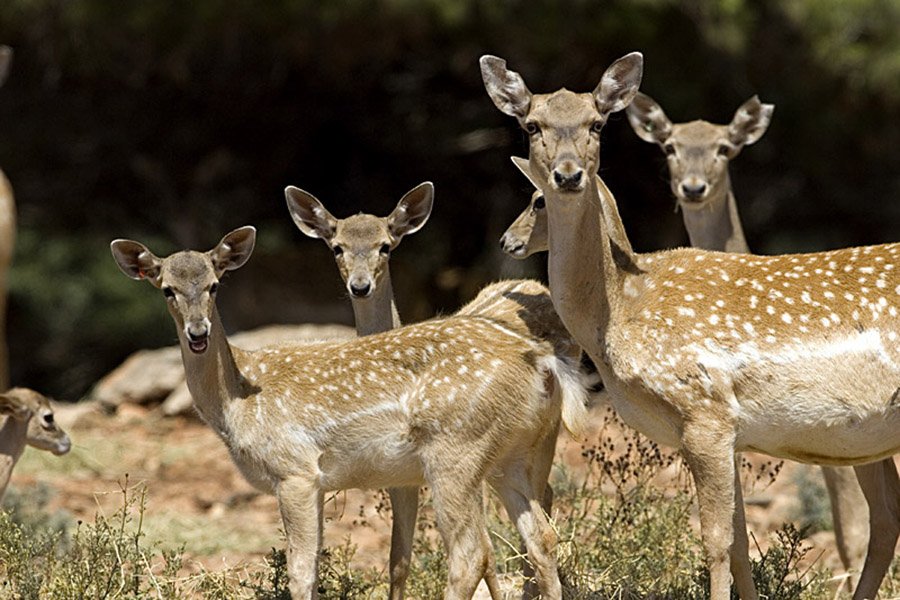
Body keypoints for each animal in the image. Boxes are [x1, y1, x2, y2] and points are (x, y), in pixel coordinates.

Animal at [110, 226, 589, 600]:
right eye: (167, 289)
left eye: (213, 285)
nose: (198, 333)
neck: (238, 401)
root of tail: (543, 360)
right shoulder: (318, 482)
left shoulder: (295, 469)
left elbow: (301, 573)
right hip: (509, 456)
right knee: (542, 537)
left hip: (457, 450)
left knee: (471, 553)